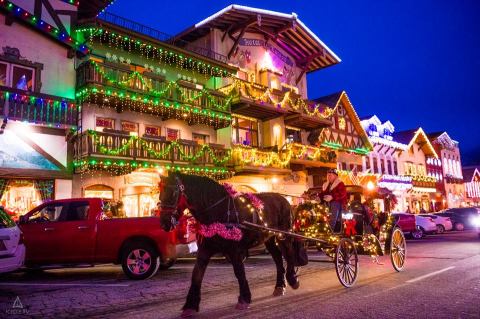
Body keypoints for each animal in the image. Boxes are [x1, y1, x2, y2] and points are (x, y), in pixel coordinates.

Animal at [159, 174, 298, 318]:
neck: (218, 211)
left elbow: (239, 272)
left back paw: (292, 279)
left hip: (284, 235)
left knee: (289, 254)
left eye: (174, 192)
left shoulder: (234, 250)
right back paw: (279, 286)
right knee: (278, 259)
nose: (164, 222)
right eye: (159, 192)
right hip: (269, 238)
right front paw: (190, 306)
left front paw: (244, 299)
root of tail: (284, 199)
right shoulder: (204, 250)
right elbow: (196, 275)